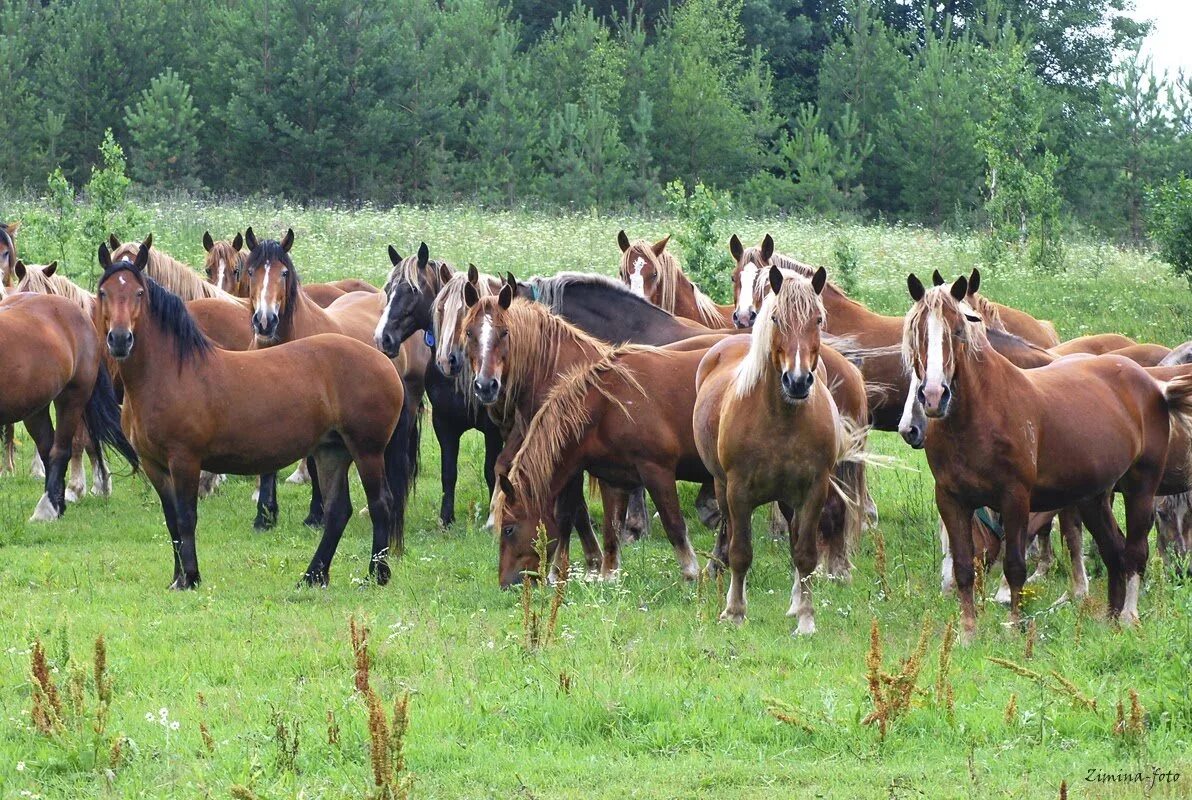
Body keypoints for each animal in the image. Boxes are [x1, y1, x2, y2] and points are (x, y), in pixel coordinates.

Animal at [0, 290, 137, 522]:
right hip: (36, 408)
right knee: (47, 448)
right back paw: (57, 505)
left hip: (72, 399)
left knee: (60, 450)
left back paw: (46, 509)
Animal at [91, 242, 414, 588]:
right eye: (103, 292)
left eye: (139, 293)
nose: (120, 339)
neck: (170, 373)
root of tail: (384, 363)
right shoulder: (154, 465)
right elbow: (172, 521)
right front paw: (177, 579)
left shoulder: (185, 460)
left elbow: (186, 518)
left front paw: (190, 577)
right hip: (332, 451)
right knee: (338, 511)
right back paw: (313, 575)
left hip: (367, 451)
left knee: (381, 505)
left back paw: (377, 574)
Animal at [691, 265, 867, 634]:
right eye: (776, 318)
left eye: (818, 319)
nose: (797, 381)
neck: (781, 420)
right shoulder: (739, 492)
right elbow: (741, 551)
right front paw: (734, 611)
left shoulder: (813, 491)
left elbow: (804, 553)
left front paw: (806, 618)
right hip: (723, 486)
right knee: (728, 531)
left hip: (789, 499)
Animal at [901, 271, 1192, 643]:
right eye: (917, 332)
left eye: (958, 329)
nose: (935, 396)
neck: (980, 416)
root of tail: (1156, 386)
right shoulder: (951, 499)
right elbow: (966, 567)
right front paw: (968, 634)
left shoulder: (1015, 498)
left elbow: (1014, 565)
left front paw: (1013, 627)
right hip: (1093, 497)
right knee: (1114, 551)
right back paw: (1108, 621)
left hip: (1140, 489)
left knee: (1135, 553)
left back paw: (1128, 617)